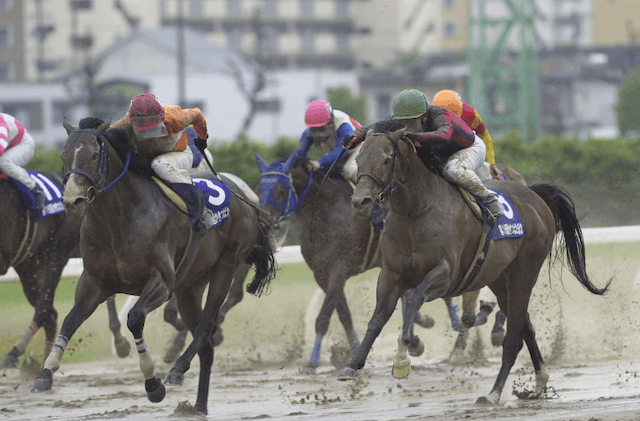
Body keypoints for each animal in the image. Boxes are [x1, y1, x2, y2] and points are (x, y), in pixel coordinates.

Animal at [31, 117, 276, 414]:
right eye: (63, 155)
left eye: (93, 154)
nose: (72, 201)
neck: (118, 217)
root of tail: (245, 199)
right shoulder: (94, 281)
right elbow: (70, 320)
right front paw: (45, 374)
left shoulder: (161, 282)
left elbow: (135, 318)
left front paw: (153, 384)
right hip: (190, 286)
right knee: (206, 344)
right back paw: (198, 406)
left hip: (226, 267)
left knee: (206, 327)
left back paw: (177, 370)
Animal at [336, 121, 608, 404]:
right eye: (359, 159)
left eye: (387, 159)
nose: (360, 201)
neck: (416, 212)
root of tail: (535, 196)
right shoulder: (391, 274)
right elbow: (378, 317)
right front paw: (352, 365)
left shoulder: (446, 274)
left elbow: (412, 297)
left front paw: (402, 357)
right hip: (499, 279)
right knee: (525, 328)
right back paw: (539, 382)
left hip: (524, 274)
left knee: (513, 339)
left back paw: (494, 393)